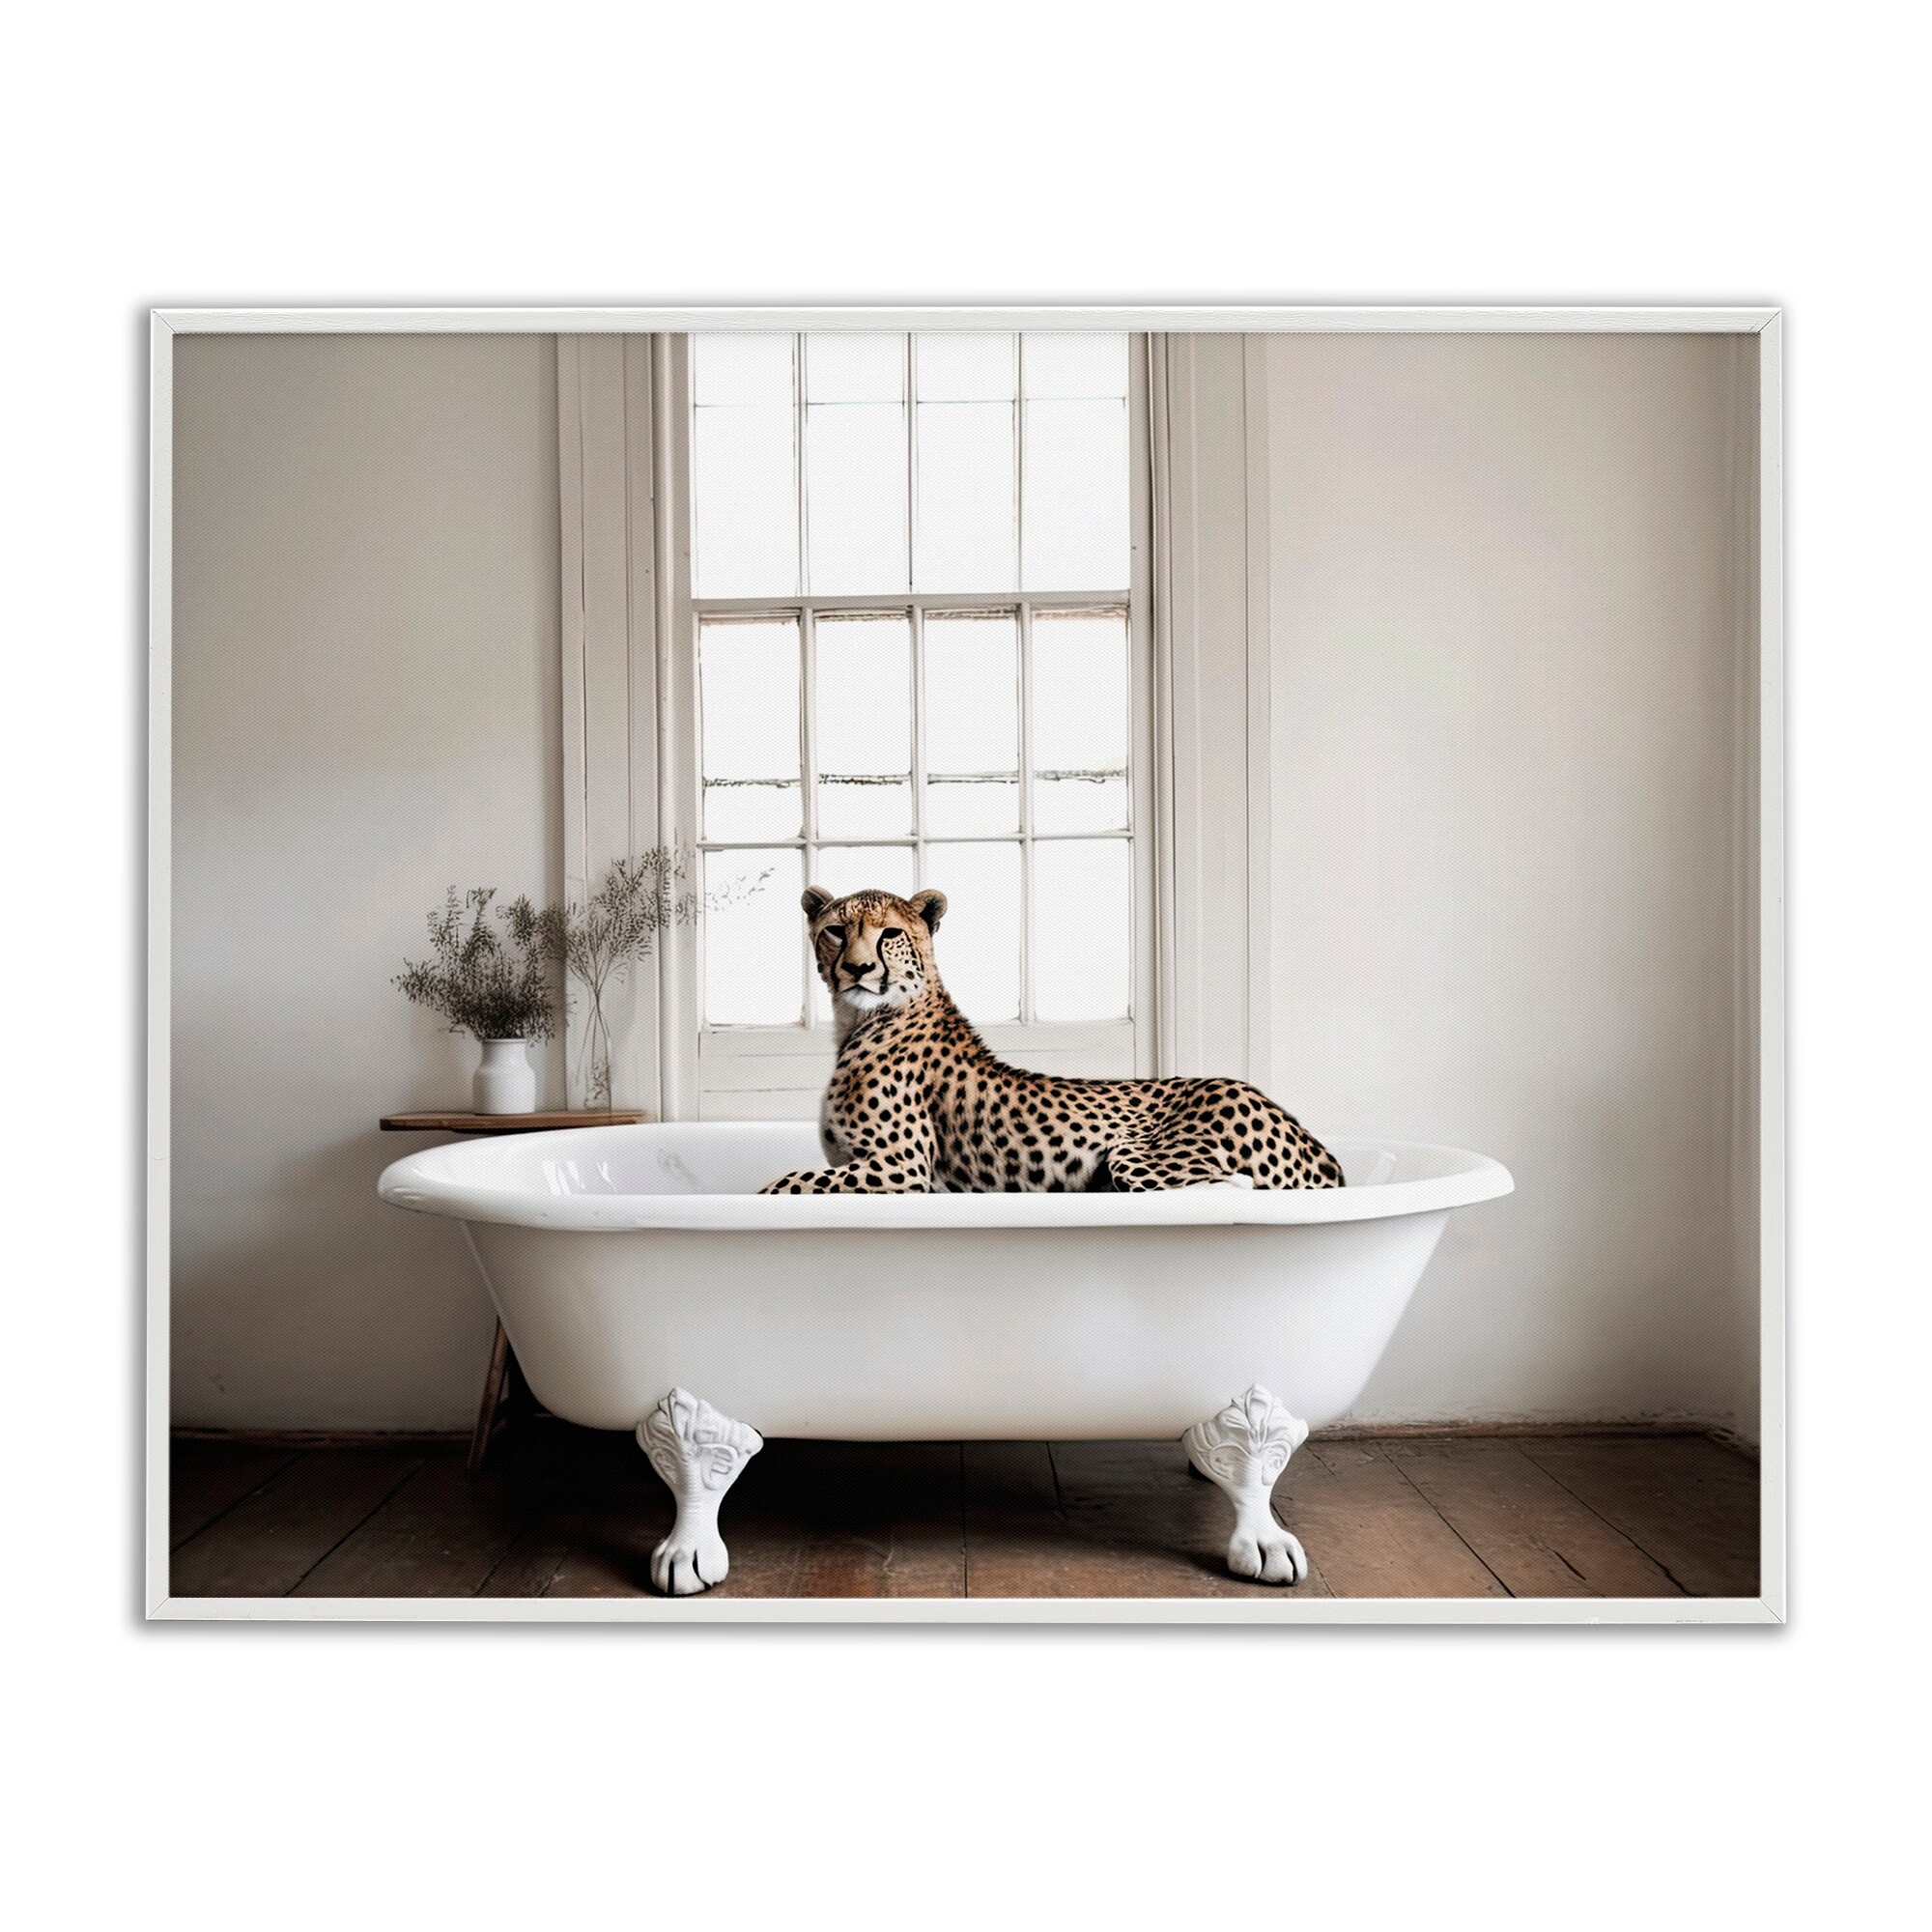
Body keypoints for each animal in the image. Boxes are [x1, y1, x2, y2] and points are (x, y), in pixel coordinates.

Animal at [759, 884, 1344, 1196]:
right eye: (837, 931)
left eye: (890, 934)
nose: (858, 969)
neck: (861, 1019)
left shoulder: (898, 1170)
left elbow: (782, 1183)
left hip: (1139, 1156)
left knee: (1221, 1188)